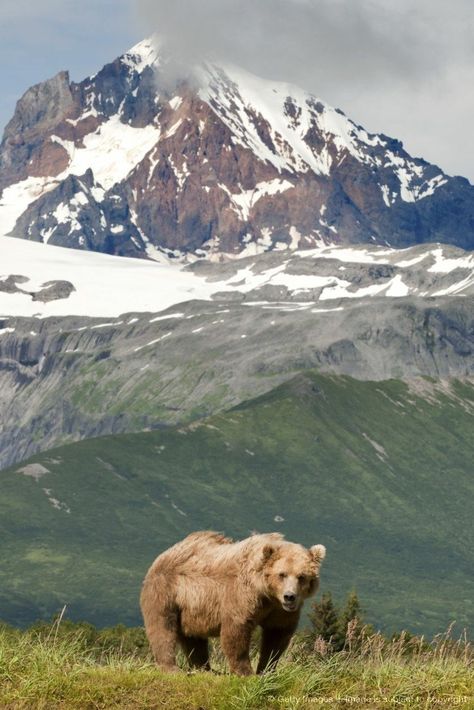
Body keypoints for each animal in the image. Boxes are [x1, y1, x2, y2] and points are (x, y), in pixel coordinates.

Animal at [141, 532, 326, 676]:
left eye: (302, 576)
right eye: (282, 574)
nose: (289, 597)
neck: (267, 594)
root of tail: (164, 554)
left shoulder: (279, 612)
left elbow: (277, 637)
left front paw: (266, 670)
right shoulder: (242, 596)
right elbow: (236, 630)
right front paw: (246, 672)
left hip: (191, 610)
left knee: (194, 639)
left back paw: (205, 669)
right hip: (166, 592)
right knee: (162, 627)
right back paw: (171, 668)